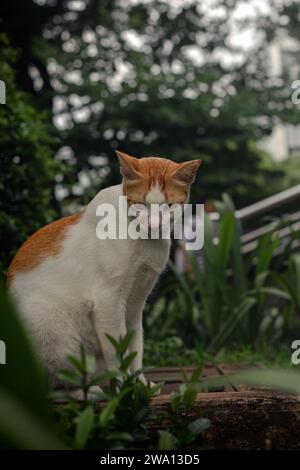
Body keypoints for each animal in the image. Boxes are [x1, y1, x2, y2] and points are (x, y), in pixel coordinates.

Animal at [7, 151, 200, 390]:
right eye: (141, 204)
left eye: (169, 205)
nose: (154, 224)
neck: (144, 241)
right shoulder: (108, 301)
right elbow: (117, 353)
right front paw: (125, 390)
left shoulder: (135, 304)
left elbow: (135, 348)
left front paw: (139, 385)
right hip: (47, 322)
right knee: (55, 383)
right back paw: (92, 391)